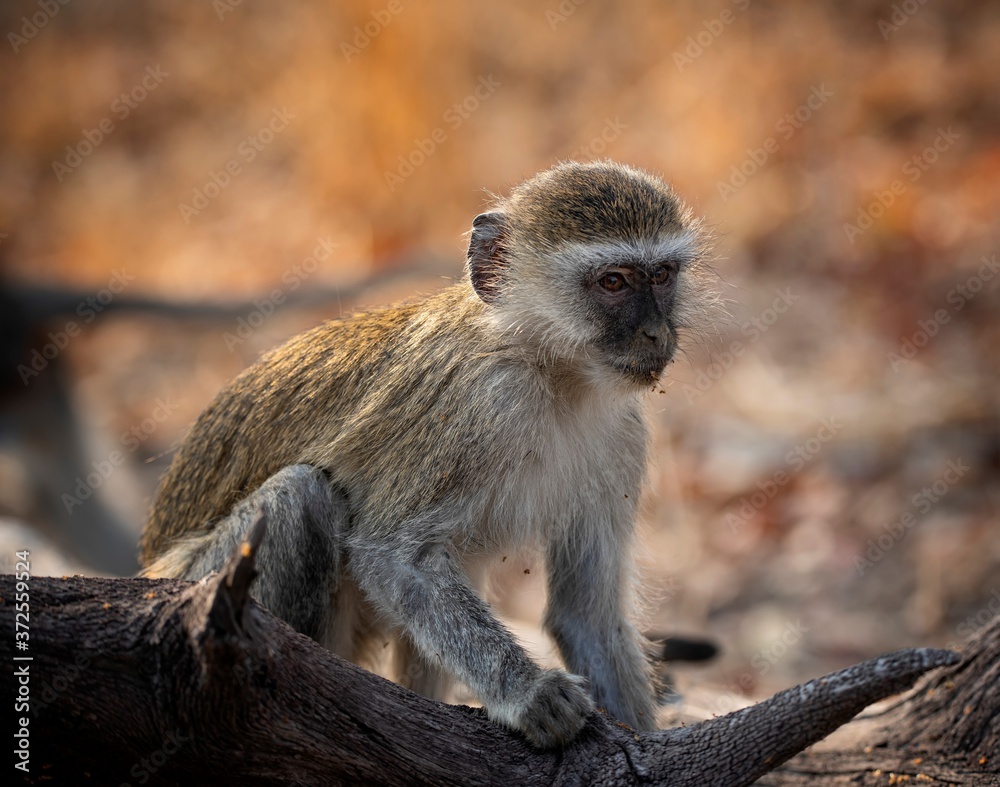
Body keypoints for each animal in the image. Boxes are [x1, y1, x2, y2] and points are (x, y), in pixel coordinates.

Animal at [139, 161, 711, 748]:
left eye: (662, 276)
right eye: (613, 282)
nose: (656, 333)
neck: (551, 372)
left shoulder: (623, 437)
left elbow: (586, 617)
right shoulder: (474, 407)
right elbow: (394, 557)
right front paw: (529, 694)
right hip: (194, 585)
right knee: (301, 495)